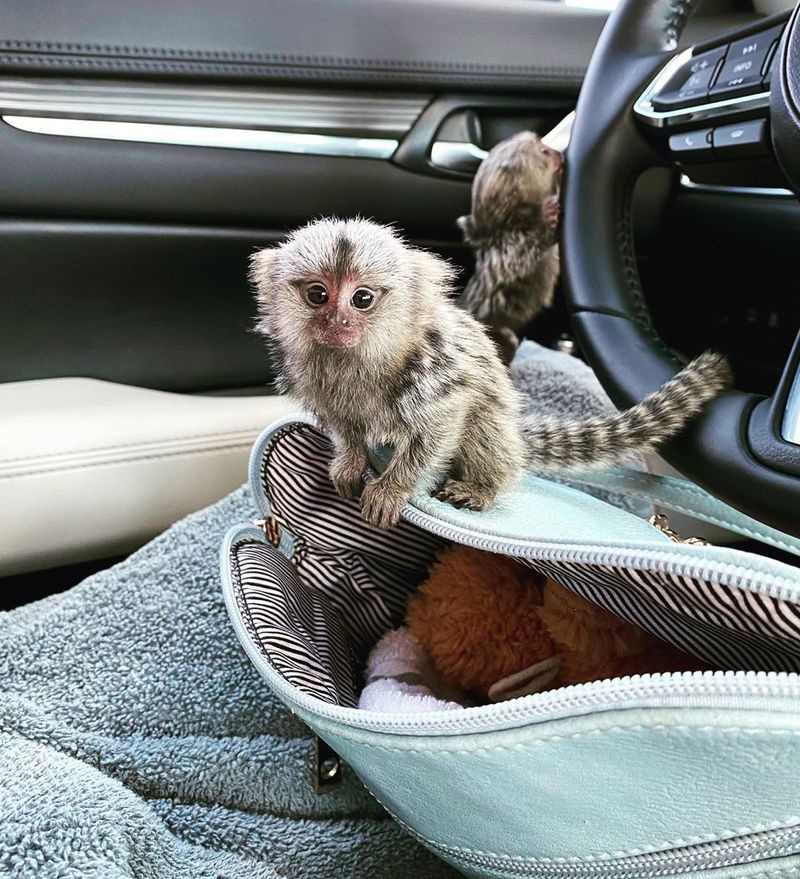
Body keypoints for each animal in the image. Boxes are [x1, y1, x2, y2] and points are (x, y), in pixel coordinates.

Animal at [251, 217, 732, 530]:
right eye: (318, 295)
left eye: (362, 299)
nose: (337, 321)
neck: (357, 361)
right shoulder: (319, 386)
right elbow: (345, 427)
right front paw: (350, 462)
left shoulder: (434, 375)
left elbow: (439, 429)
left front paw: (392, 489)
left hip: (497, 430)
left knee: (482, 428)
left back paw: (481, 488)